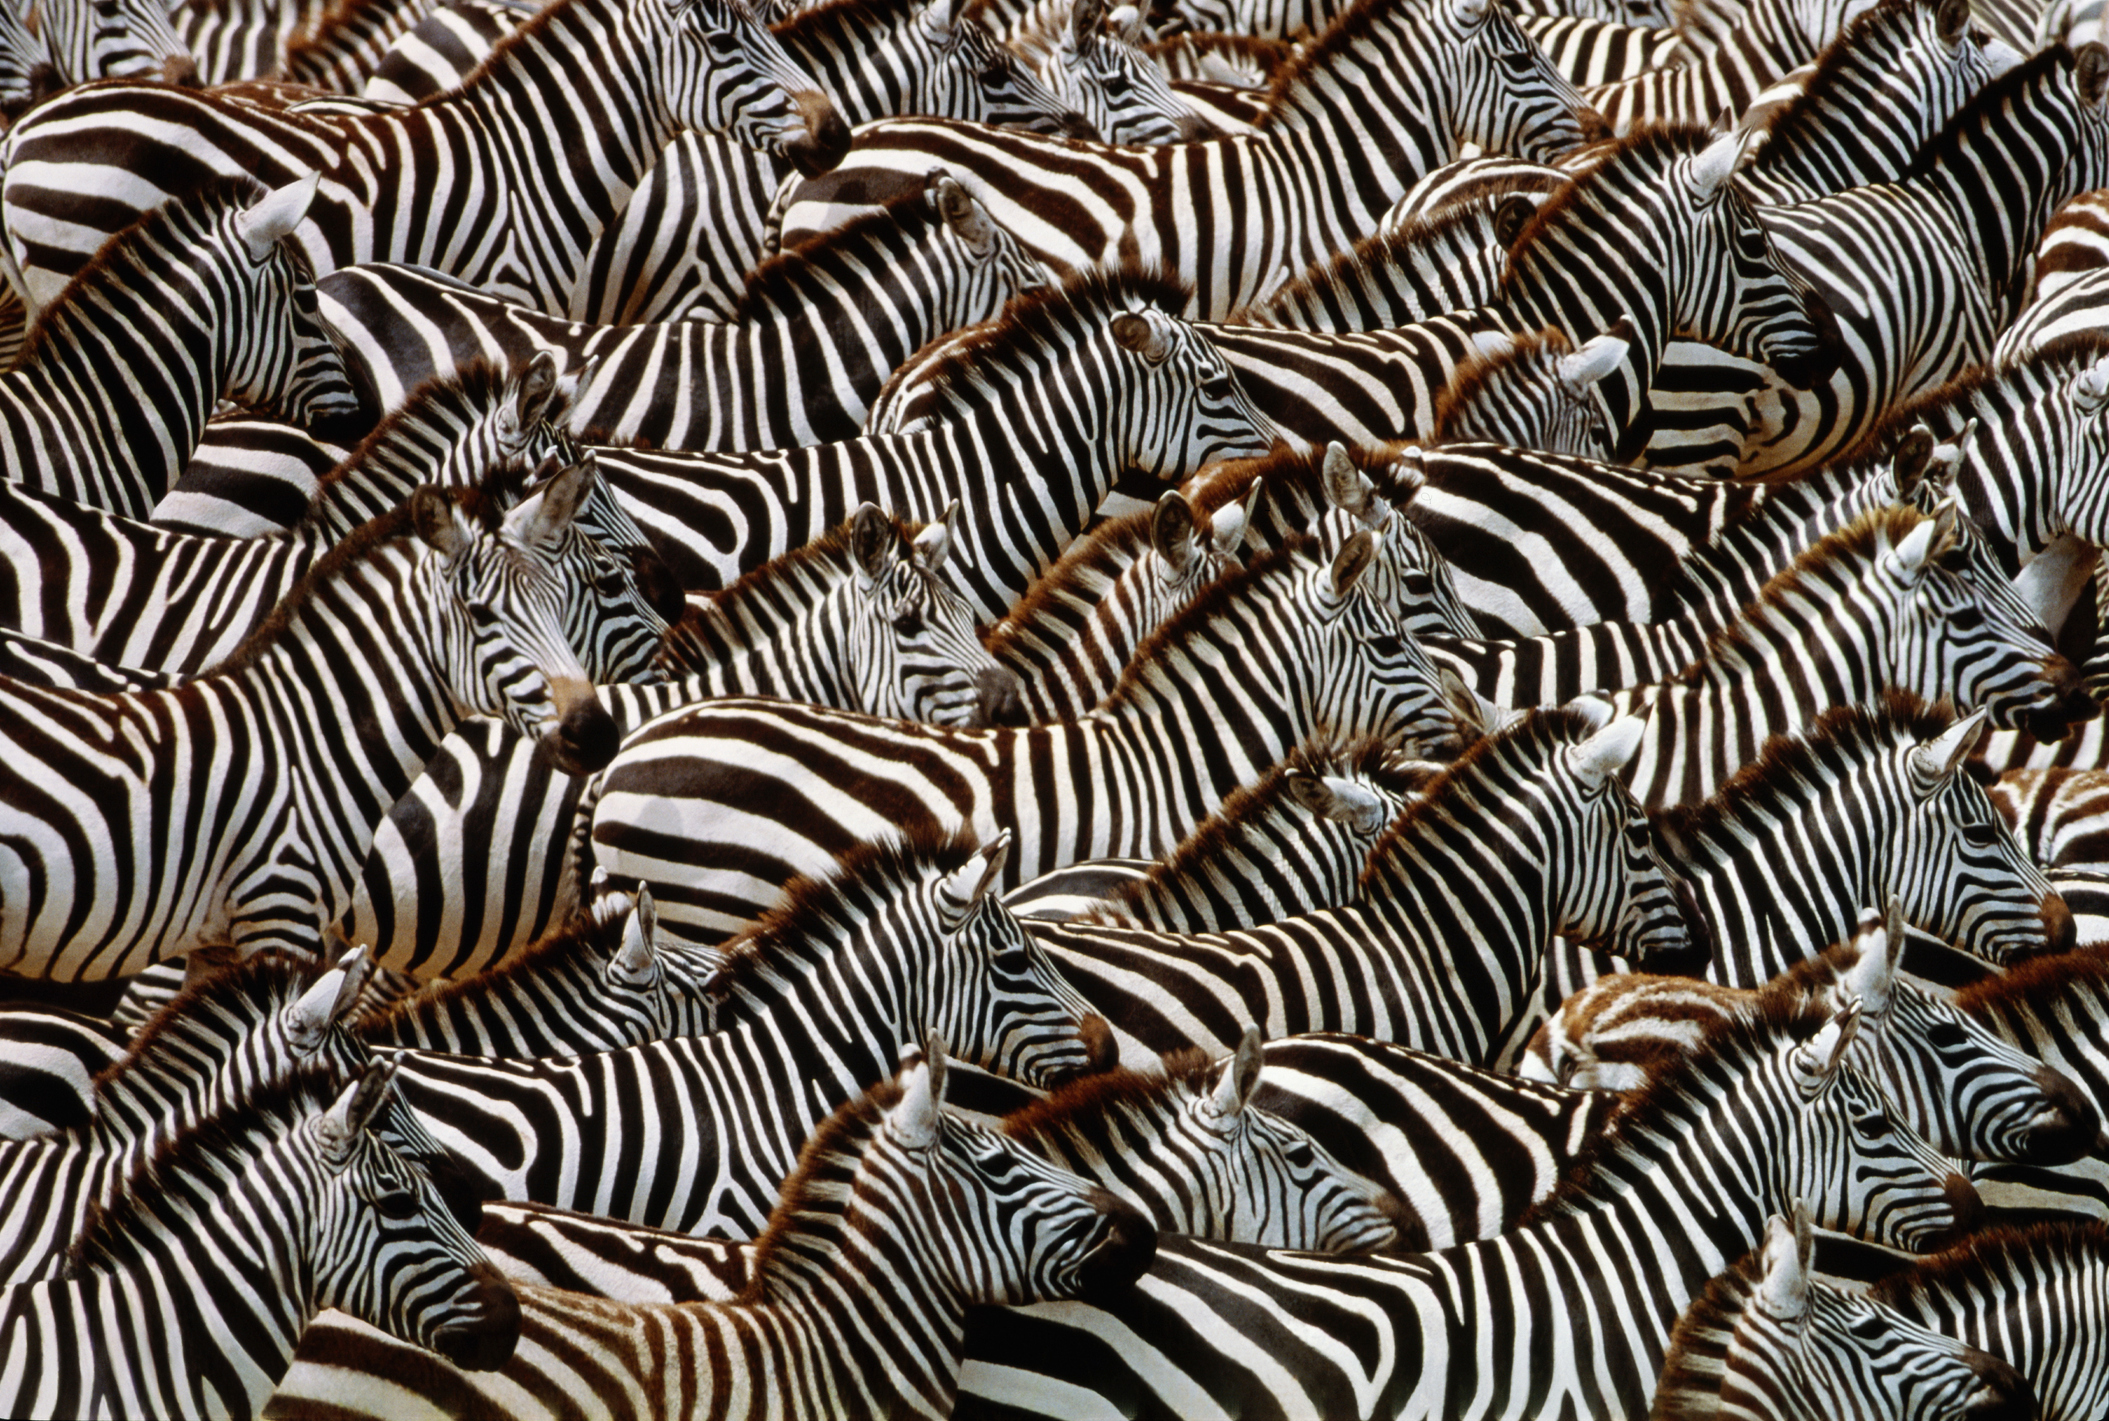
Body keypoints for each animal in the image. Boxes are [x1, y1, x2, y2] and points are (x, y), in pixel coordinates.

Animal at [0, 474, 624, 978]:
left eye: (562, 603)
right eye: (481, 614)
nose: (597, 734)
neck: (309, 741)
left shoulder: (219, 942)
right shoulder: (280, 911)